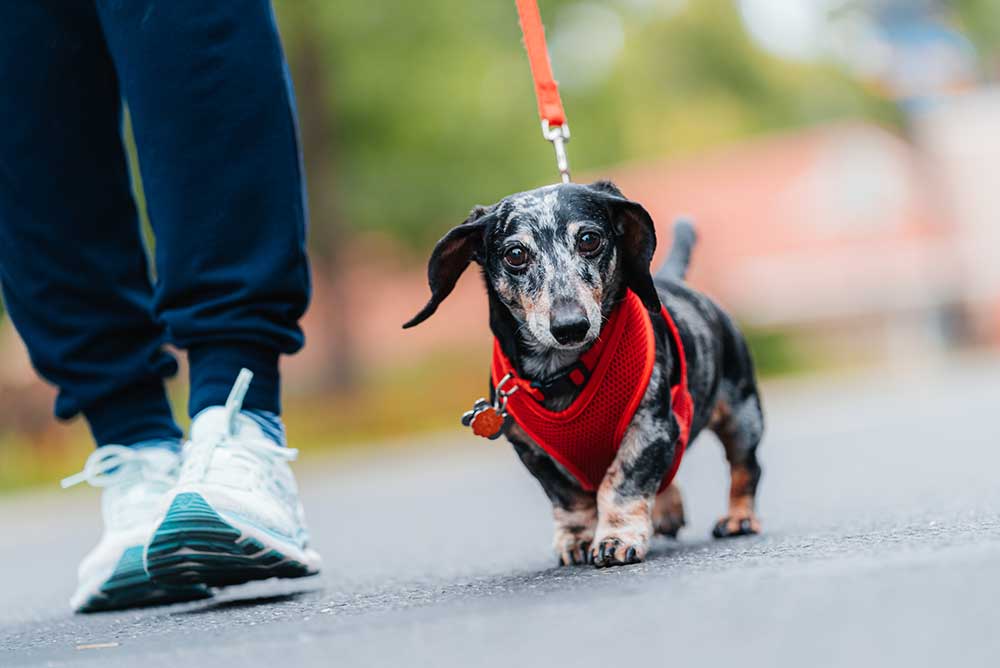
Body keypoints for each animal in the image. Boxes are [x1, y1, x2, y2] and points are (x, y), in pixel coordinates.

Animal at [402, 180, 760, 568]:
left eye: (589, 239)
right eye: (515, 254)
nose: (570, 326)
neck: (561, 372)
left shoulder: (650, 429)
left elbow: (621, 484)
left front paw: (616, 538)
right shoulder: (534, 453)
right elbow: (570, 498)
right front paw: (577, 540)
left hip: (742, 417)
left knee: (745, 469)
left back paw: (738, 518)